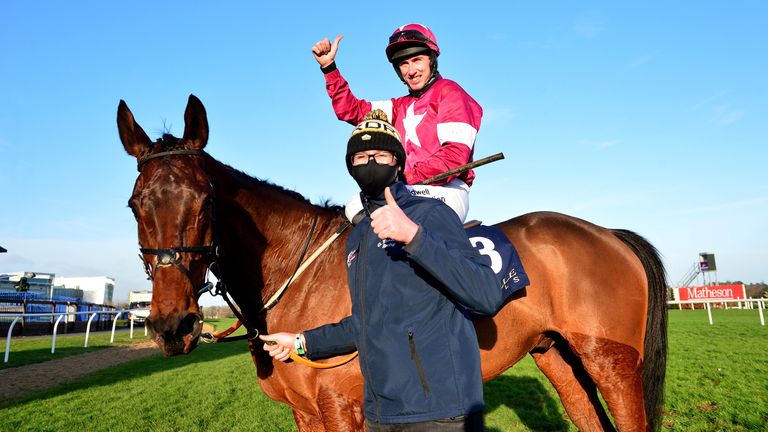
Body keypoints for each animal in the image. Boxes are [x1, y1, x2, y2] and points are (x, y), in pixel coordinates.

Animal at [118, 96, 664, 432]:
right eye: (134, 204)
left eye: (206, 201)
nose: (172, 325)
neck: (298, 276)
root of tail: (607, 233)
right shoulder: (305, 414)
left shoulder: (342, 408)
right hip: (557, 357)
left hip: (612, 363)